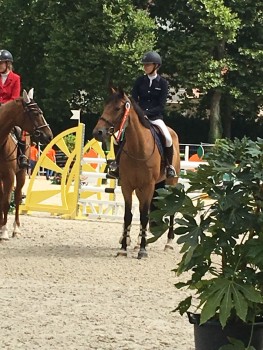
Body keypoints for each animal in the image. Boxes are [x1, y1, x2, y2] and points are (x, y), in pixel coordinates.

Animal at [0, 89, 53, 239]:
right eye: (35, 113)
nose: (49, 135)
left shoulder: (9, 175)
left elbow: (6, 202)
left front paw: (4, 230)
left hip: (21, 173)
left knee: (17, 196)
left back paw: (15, 228)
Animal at [92, 88, 180, 258]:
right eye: (105, 105)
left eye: (117, 108)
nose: (97, 132)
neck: (138, 148)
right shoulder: (127, 185)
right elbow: (128, 216)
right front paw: (123, 248)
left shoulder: (148, 186)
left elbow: (144, 216)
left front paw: (143, 251)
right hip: (139, 189)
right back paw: (137, 241)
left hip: (170, 183)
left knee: (169, 211)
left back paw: (168, 243)